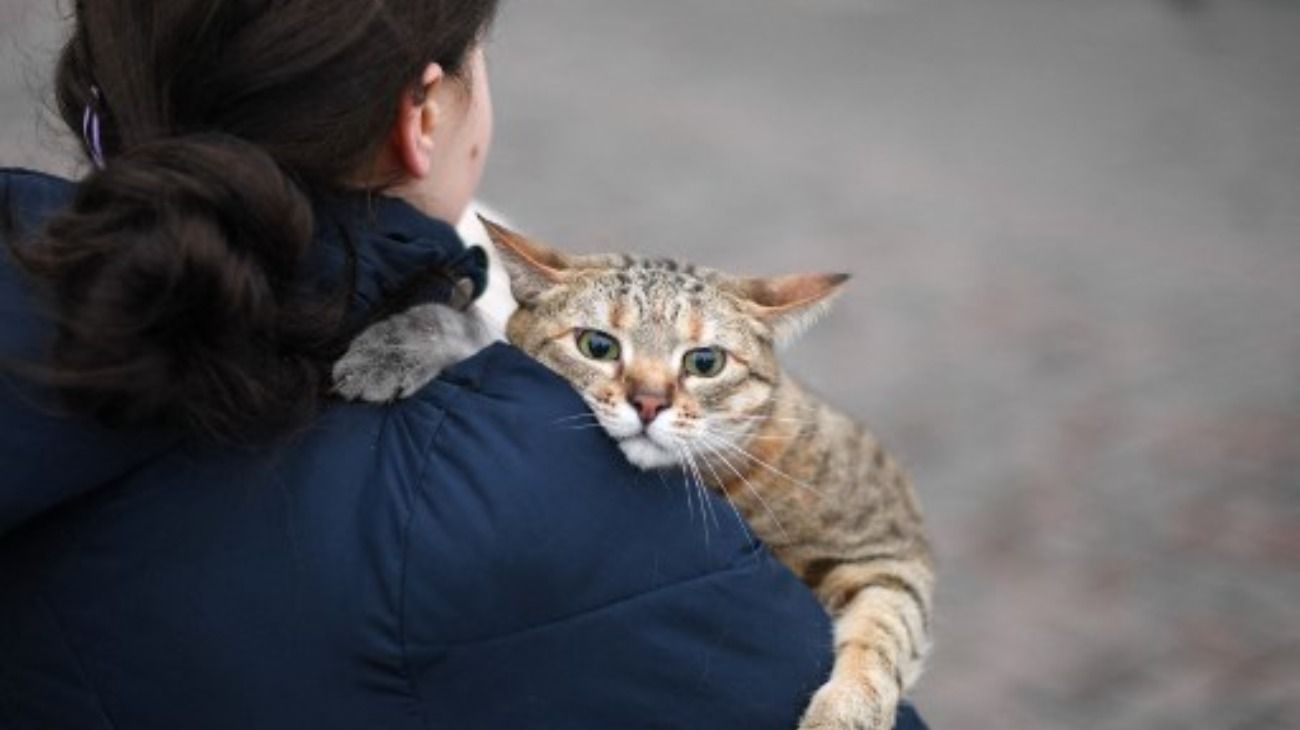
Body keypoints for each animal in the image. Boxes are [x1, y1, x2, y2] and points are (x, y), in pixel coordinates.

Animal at [330, 216, 930, 727]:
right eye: (597, 345)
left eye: (705, 362)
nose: (647, 402)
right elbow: (475, 332)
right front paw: (395, 346)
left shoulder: (889, 547)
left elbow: (884, 632)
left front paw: (845, 713)